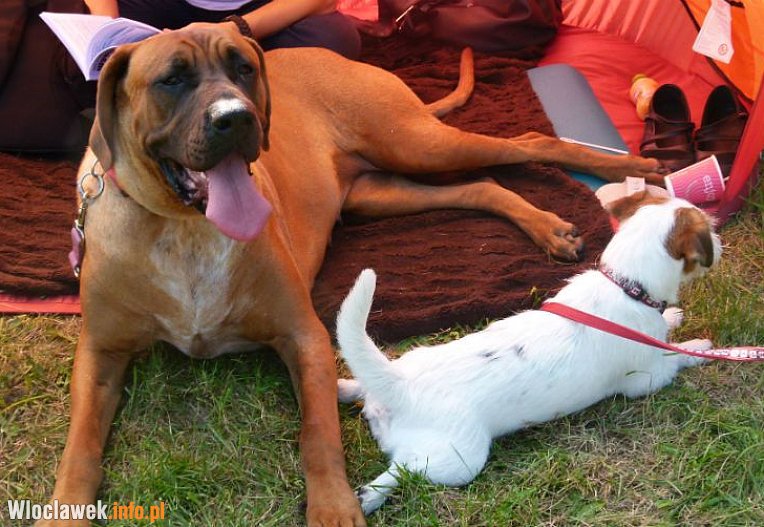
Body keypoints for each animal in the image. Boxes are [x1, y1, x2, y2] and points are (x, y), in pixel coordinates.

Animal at [41, 23, 665, 526]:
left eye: (242, 68)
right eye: (171, 79)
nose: (237, 118)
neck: (183, 232)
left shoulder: (304, 337)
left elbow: (319, 433)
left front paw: (335, 506)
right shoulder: (100, 352)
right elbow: (79, 445)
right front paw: (64, 508)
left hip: (415, 142)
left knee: (529, 142)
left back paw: (625, 170)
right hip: (382, 191)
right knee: (482, 185)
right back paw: (548, 221)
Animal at [336, 193, 721, 514]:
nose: (720, 243)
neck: (625, 285)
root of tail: (397, 383)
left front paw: (672, 317)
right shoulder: (647, 378)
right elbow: (677, 356)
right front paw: (701, 347)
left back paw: (344, 389)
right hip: (458, 458)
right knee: (402, 471)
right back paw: (370, 497)